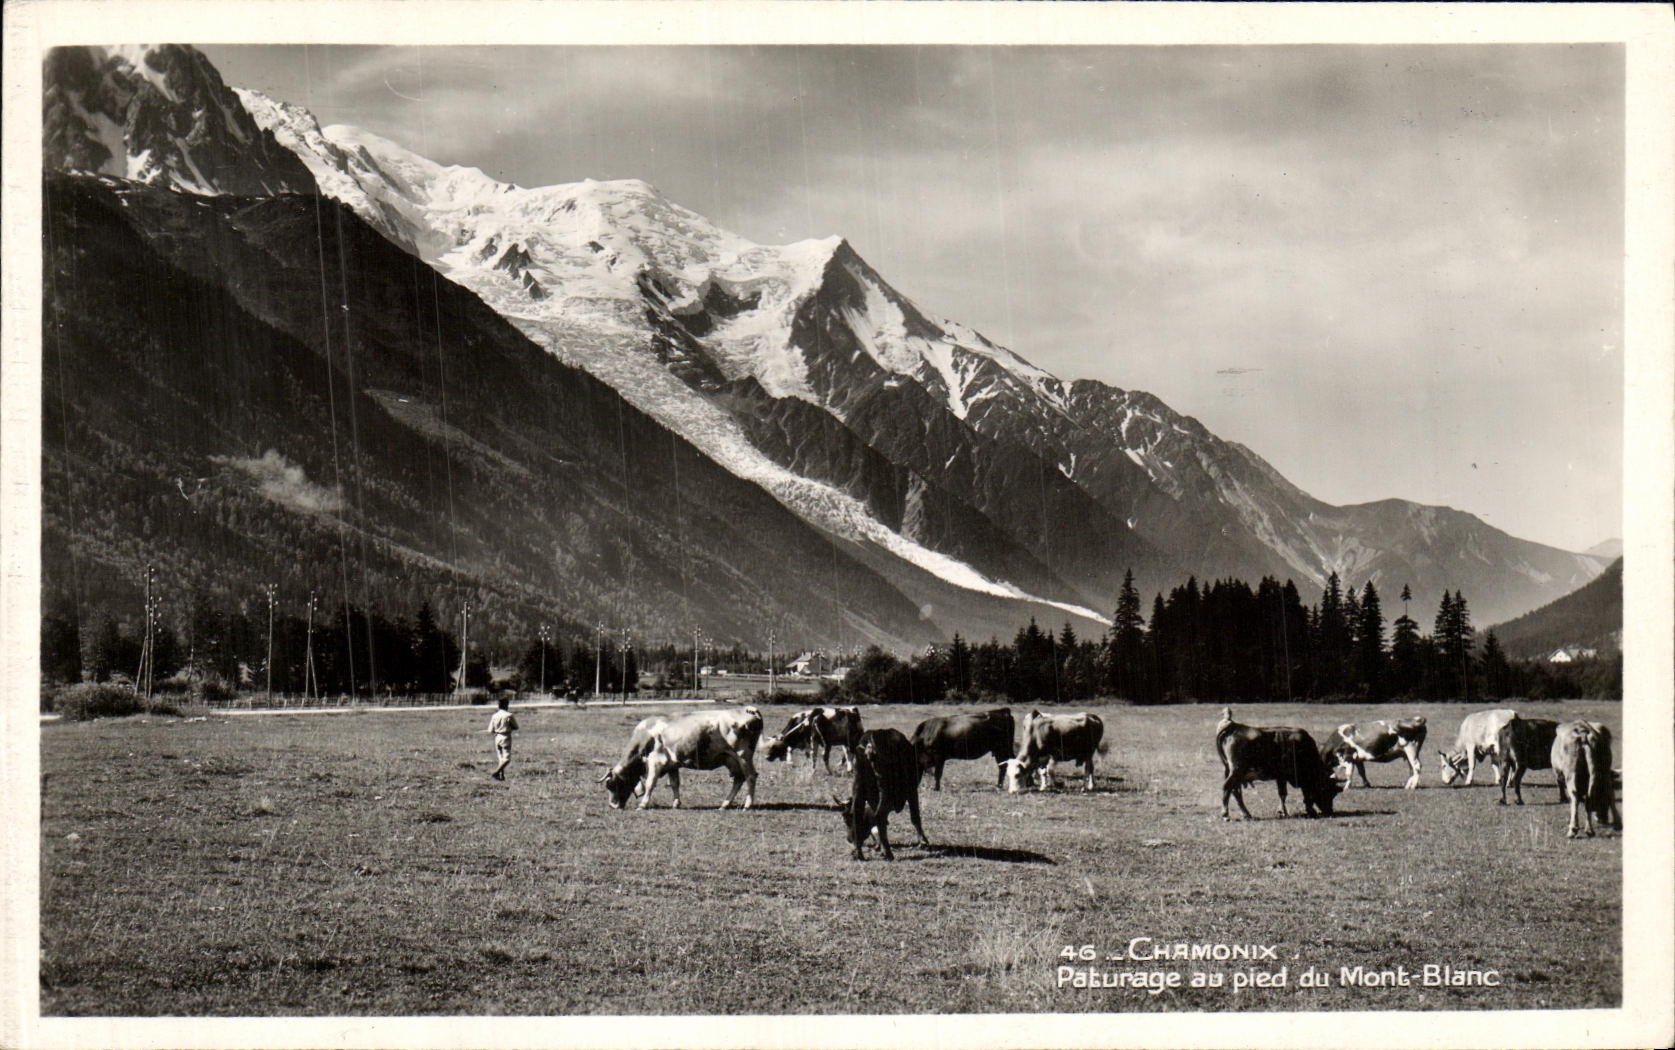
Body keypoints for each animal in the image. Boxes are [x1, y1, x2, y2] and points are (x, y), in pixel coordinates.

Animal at [599, 707, 763, 810]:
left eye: (611, 784)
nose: (612, 806)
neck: (646, 735)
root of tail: (749, 710)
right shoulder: (672, 764)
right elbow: (674, 783)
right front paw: (676, 803)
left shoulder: (656, 761)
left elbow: (651, 783)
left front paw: (643, 805)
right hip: (731, 759)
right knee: (739, 779)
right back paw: (724, 804)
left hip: (743, 755)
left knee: (750, 776)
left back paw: (747, 805)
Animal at [838, 728, 930, 861]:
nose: (850, 839)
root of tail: (869, 741)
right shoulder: (912, 791)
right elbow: (915, 816)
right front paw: (923, 842)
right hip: (886, 790)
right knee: (879, 815)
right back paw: (888, 852)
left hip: (858, 785)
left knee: (858, 812)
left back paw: (859, 853)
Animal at [1215, 708, 1344, 820]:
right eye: (1329, 790)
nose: (1329, 812)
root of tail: (1234, 727)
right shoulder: (1286, 775)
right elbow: (1291, 794)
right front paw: (1301, 811)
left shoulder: (1280, 776)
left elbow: (1283, 794)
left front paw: (1284, 811)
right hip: (1237, 770)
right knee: (1227, 787)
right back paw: (1225, 814)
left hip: (1234, 772)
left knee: (1235, 791)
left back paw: (1246, 814)